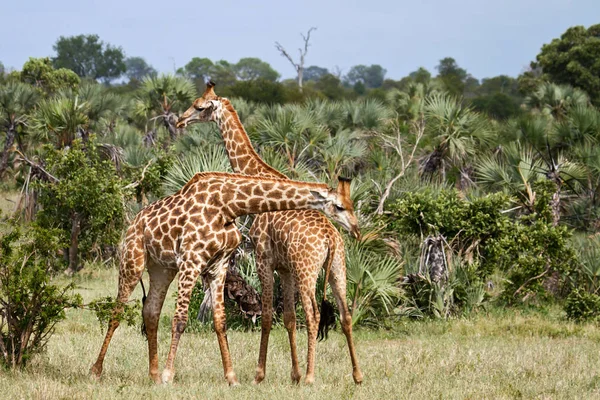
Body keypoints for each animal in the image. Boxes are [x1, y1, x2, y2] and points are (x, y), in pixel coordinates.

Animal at [88, 171, 356, 384]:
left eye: (352, 203)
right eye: (340, 206)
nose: (355, 228)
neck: (227, 206)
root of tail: (133, 222)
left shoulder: (218, 266)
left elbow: (220, 321)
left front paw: (231, 377)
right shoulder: (191, 260)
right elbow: (180, 320)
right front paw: (168, 375)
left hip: (161, 269)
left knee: (151, 312)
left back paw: (152, 374)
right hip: (132, 260)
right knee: (117, 312)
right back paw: (96, 370)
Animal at [178, 83, 364, 386]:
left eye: (199, 106)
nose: (180, 121)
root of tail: (330, 239)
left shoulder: (263, 258)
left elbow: (266, 315)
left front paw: (260, 374)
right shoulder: (285, 268)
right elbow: (287, 318)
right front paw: (294, 374)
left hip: (307, 270)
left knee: (313, 315)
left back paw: (312, 377)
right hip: (338, 268)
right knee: (346, 315)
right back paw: (357, 376)